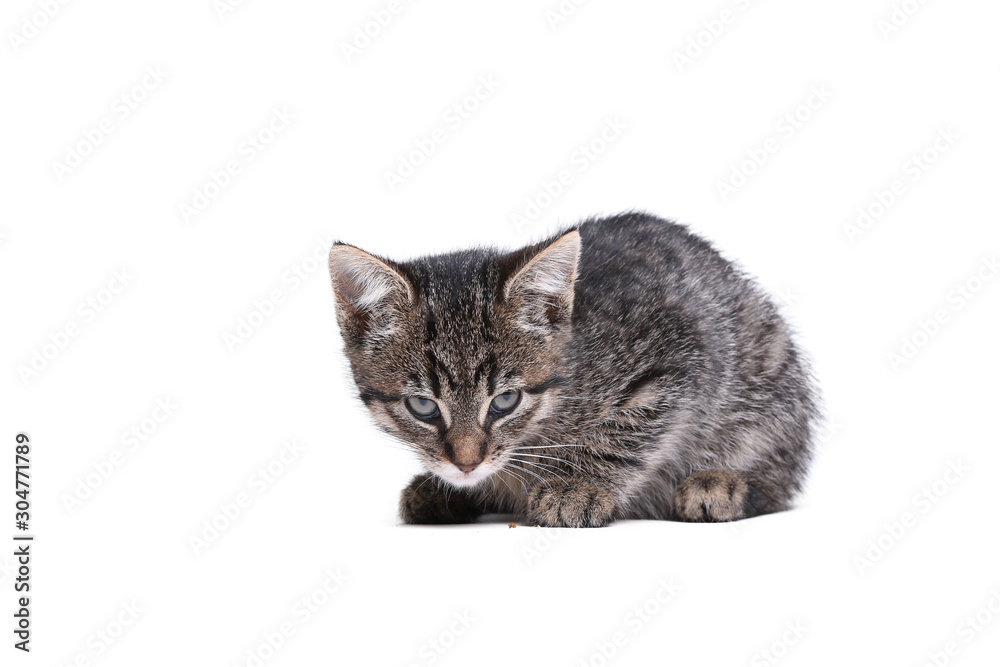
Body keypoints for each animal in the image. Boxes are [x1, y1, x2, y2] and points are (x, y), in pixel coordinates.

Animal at [327, 211, 818, 527]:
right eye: (423, 407)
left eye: (505, 401)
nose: (467, 464)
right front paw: (450, 487)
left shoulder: (675, 354)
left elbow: (627, 429)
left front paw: (576, 485)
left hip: (767, 376)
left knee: (778, 476)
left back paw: (721, 484)